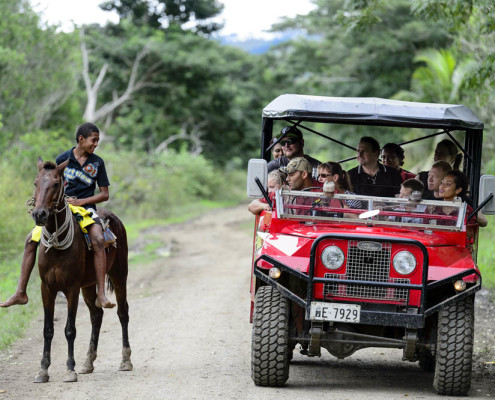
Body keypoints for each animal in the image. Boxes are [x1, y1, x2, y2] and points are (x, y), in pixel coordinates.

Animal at [30, 158, 133, 382]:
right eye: (36, 183)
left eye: (56, 184)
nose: (40, 214)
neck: (57, 246)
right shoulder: (46, 288)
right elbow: (48, 329)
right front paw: (43, 370)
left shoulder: (71, 287)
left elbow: (70, 329)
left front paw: (70, 369)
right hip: (89, 284)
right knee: (96, 315)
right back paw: (88, 362)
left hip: (119, 273)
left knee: (123, 312)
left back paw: (125, 361)